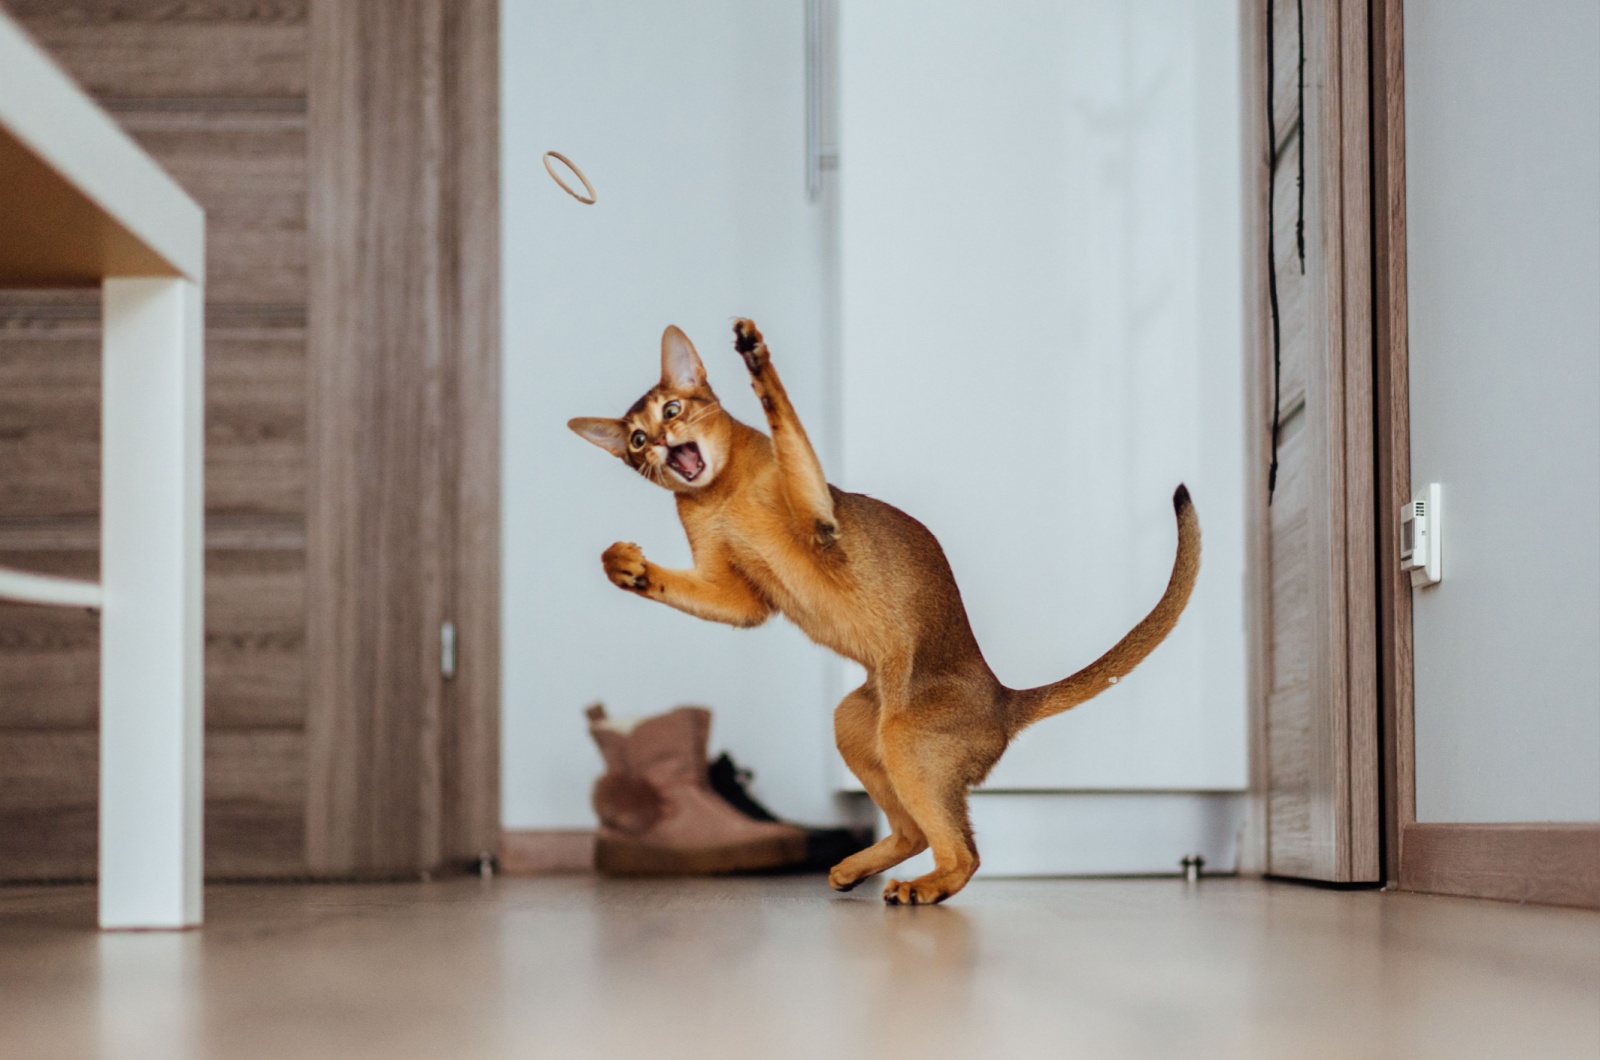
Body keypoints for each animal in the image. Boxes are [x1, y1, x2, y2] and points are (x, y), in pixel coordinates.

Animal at [569, 321, 1196, 903]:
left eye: (673, 409)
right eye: (636, 440)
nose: (660, 441)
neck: (718, 494)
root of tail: (1004, 700)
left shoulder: (820, 519)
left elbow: (786, 421)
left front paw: (755, 355)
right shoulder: (741, 599)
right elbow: (689, 587)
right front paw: (622, 566)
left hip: (904, 737)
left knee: (963, 851)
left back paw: (921, 888)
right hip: (855, 722)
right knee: (920, 833)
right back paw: (857, 871)